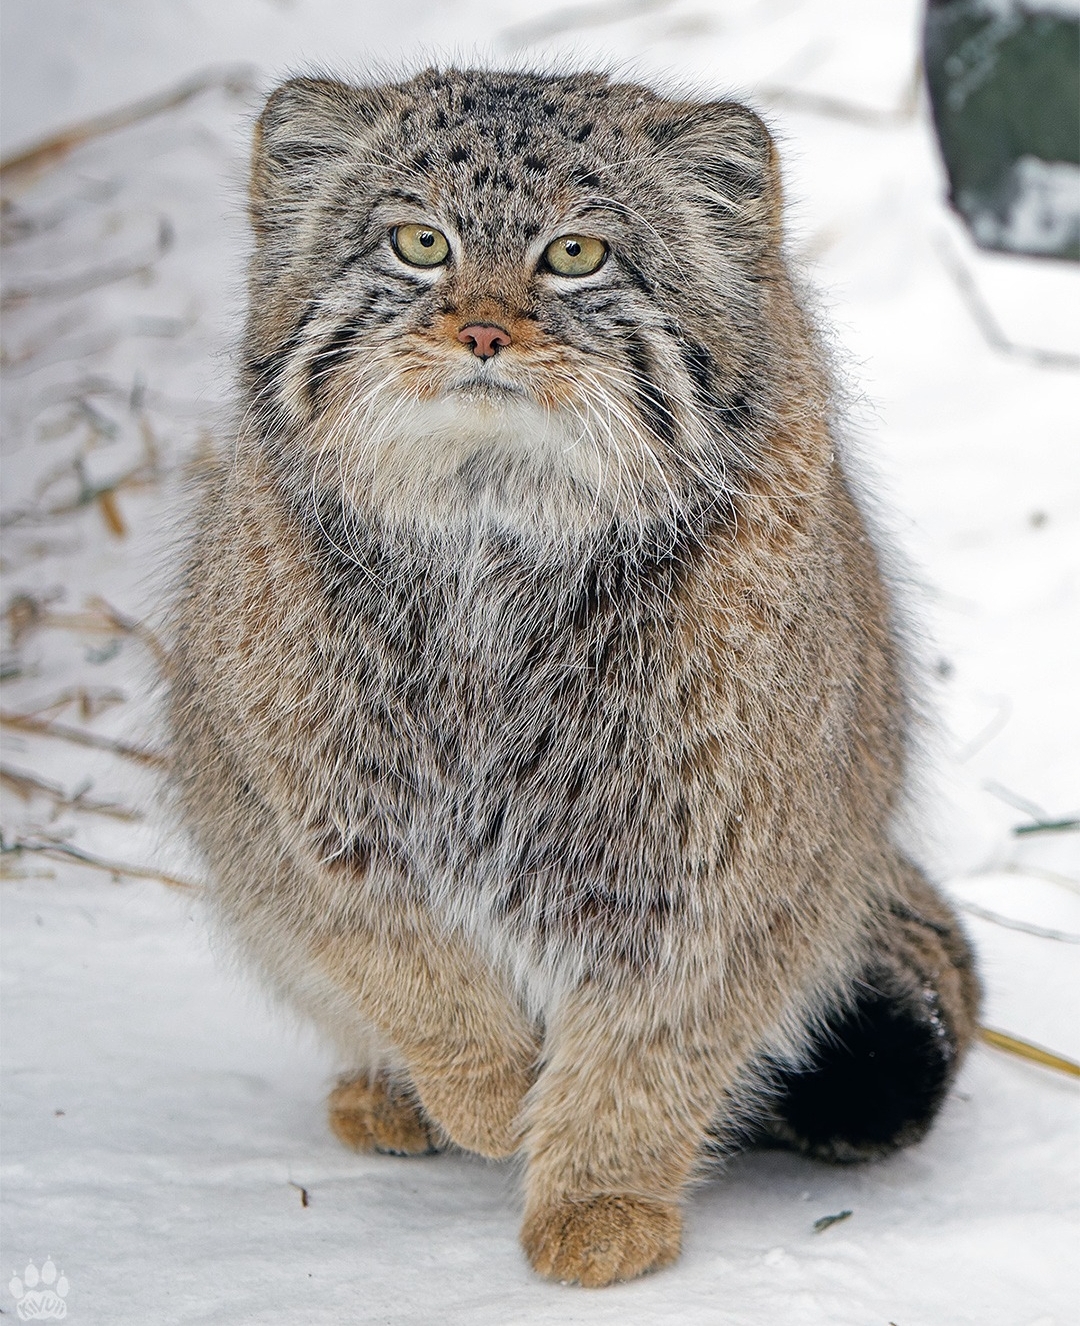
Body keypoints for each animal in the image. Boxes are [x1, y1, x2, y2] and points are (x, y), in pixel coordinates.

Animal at [168, 68, 981, 1287]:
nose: (483, 329)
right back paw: (394, 1092)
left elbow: (651, 1045)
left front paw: (599, 1199)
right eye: (419, 242)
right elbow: (407, 966)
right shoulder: (300, 807)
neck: (495, 545)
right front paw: (487, 1098)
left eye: (576, 255)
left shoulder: (720, 860)